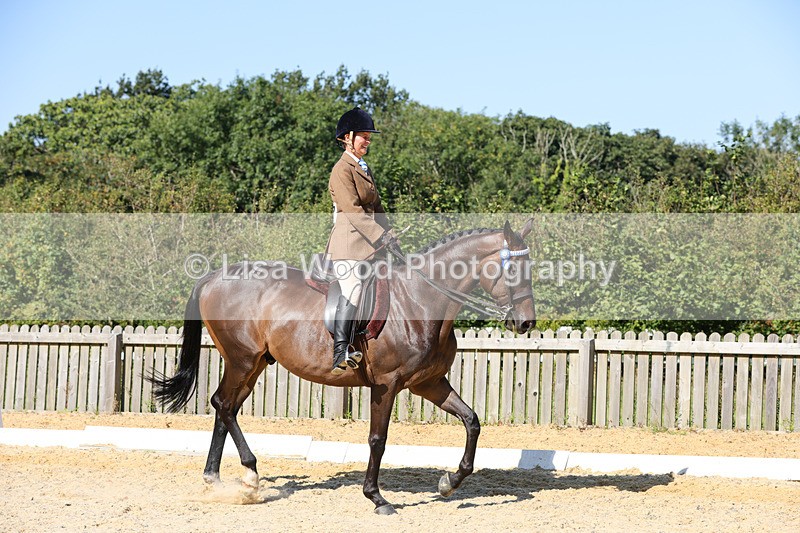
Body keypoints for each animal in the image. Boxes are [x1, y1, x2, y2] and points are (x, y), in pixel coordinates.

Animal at [150, 220, 535, 515]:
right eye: (512, 269)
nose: (526, 323)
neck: (421, 301)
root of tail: (213, 277)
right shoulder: (386, 385)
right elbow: (378, 440)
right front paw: (377, 498)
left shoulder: (429, 383)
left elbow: (472, 421)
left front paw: (448, 483)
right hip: (242, 360)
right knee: (224, 405)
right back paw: (249, 472)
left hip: (254, 363)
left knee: (225, 406)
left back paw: (218, 480)